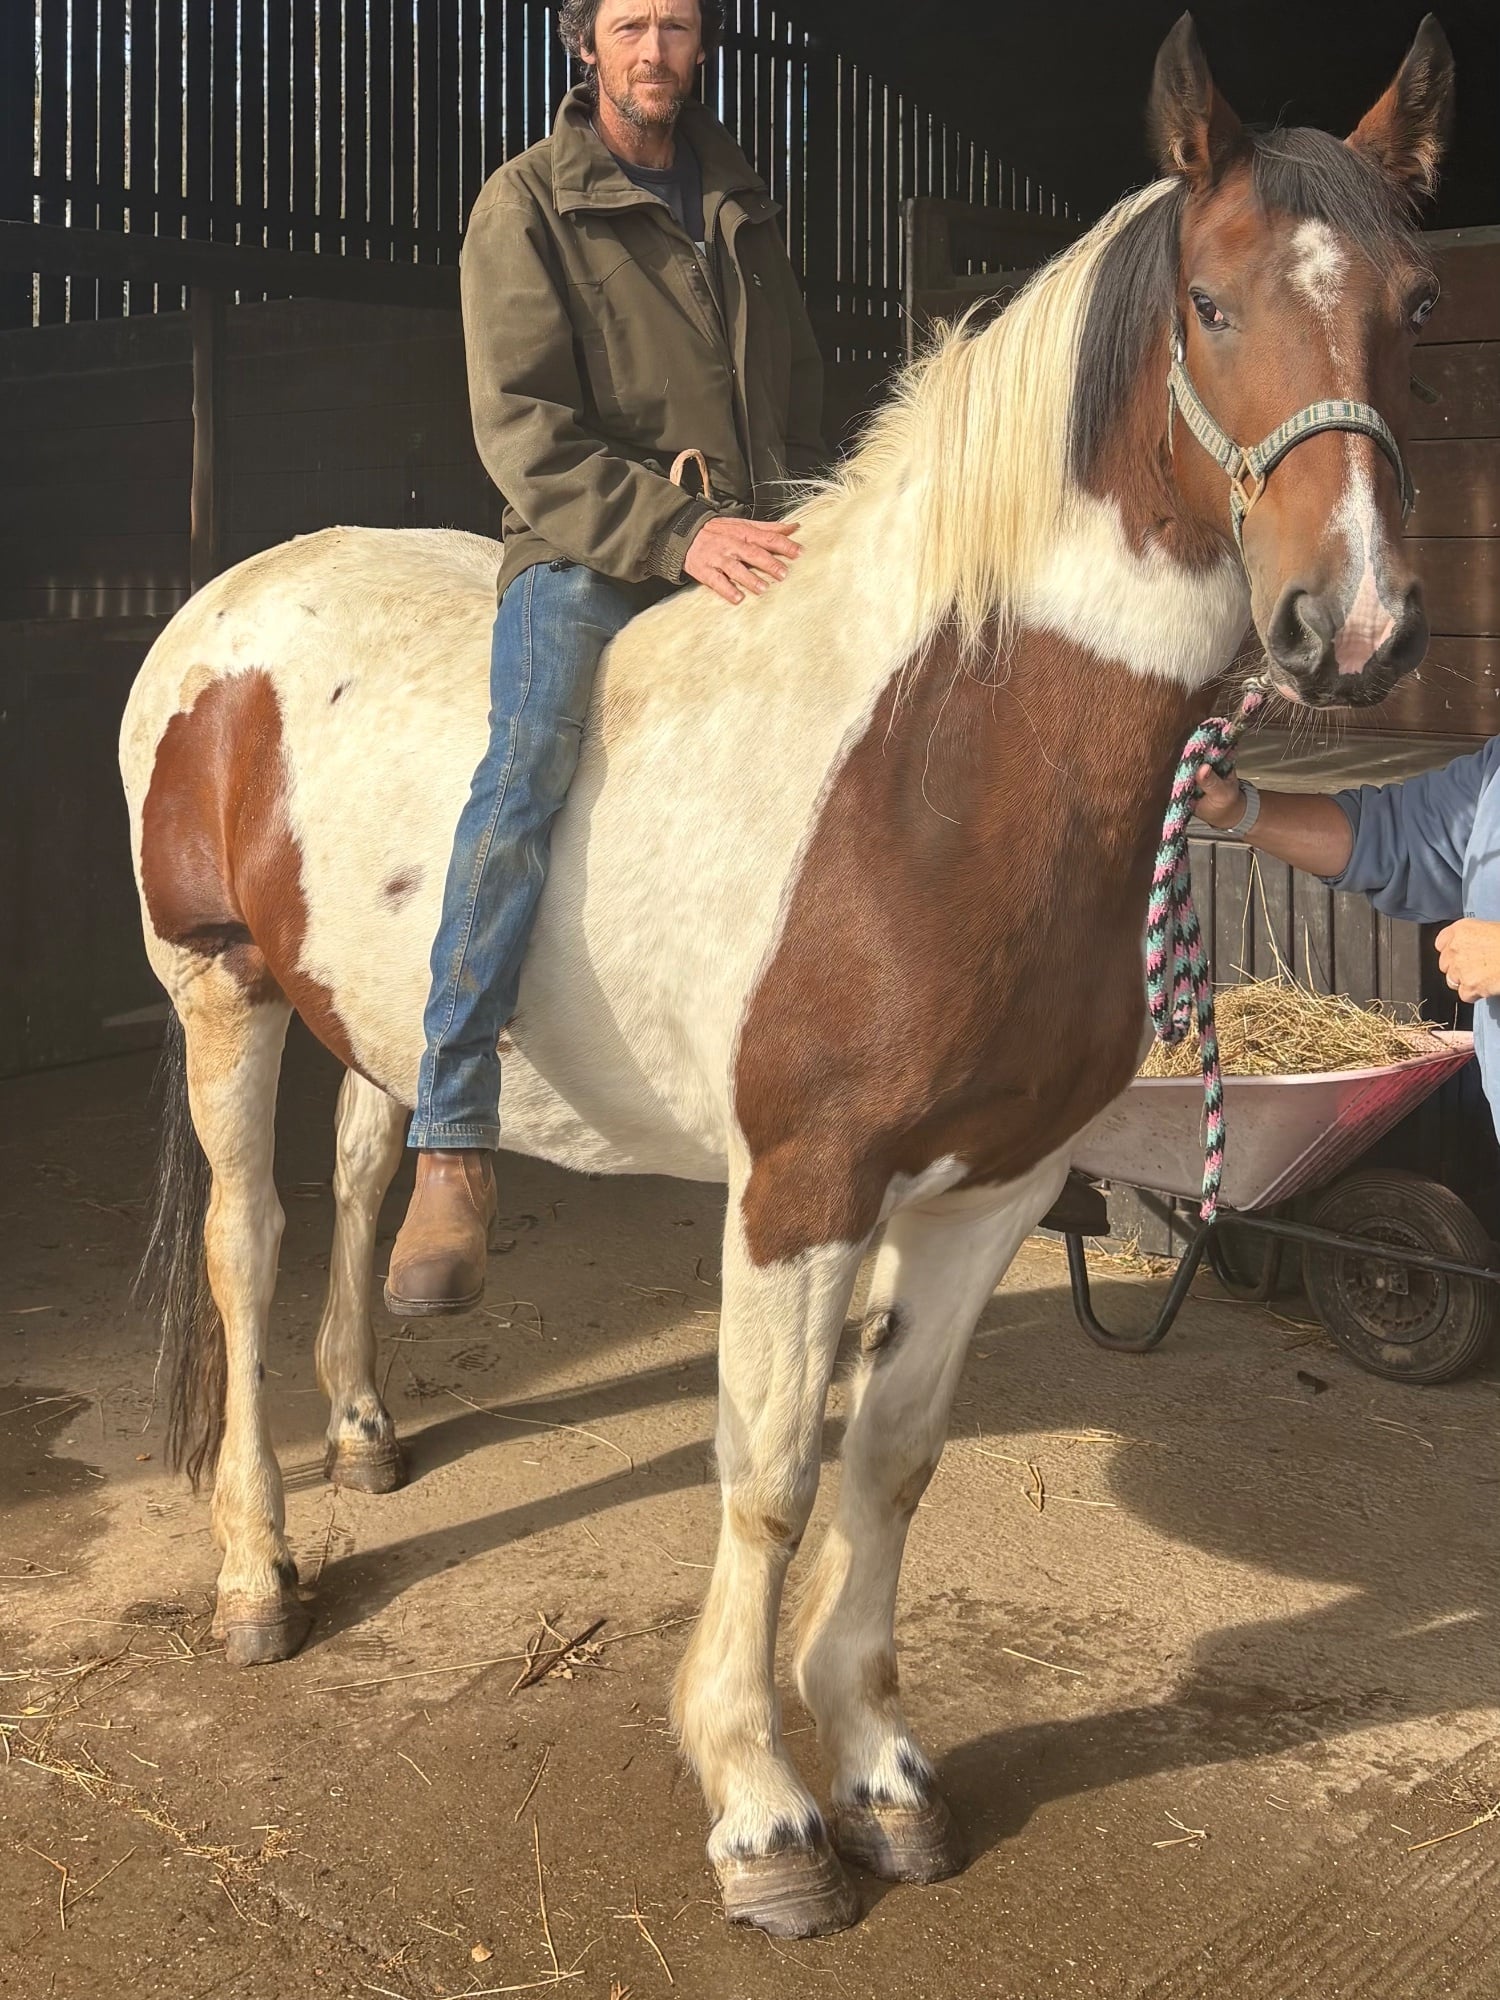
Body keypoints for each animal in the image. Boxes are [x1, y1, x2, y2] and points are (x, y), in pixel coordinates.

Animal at [120, 13, 1453, 1939]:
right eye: (1210, 303)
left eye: (1417, 304)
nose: (1351, 630)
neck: (936, 757)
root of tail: (223, 613)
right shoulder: (801, 1191)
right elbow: (765, 1472)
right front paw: (760, 1806)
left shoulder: (992, 1188)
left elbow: (890, 1461)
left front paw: (884, 1772)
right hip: (216, 989)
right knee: (251, 1242)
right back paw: (257, 1578)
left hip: (357, 1013)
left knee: (374, 1178)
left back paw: (370, 1422)